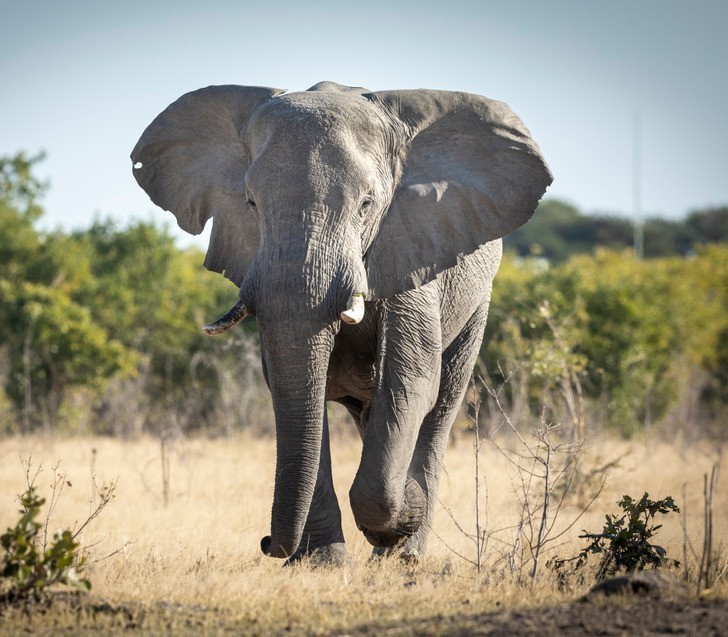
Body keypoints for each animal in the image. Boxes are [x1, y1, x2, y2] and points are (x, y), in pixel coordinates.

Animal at [131, 79, 552, 560]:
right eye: (251, 202)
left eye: (367, 204)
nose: (267, 544)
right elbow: (290, 389)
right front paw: (322, 563)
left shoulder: (411, 247)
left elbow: (409, 380)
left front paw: (401, 517)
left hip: (477, 303)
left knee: (440, 406)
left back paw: (406, 552)